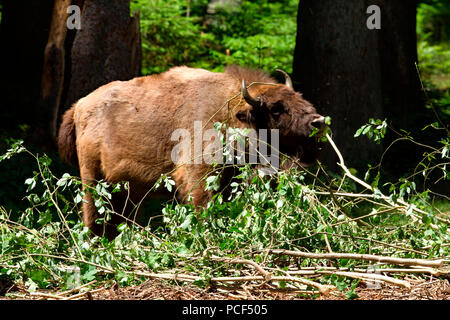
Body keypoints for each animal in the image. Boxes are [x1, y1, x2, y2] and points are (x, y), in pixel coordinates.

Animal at [58, 66, 326, 238]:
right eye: (276, 108)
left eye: (298, 97)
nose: (318, 122)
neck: (230, 111)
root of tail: (78, 107)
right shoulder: (199, 178)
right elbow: (201, 210)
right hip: (93, 179)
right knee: (92, 218)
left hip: (127, 191)